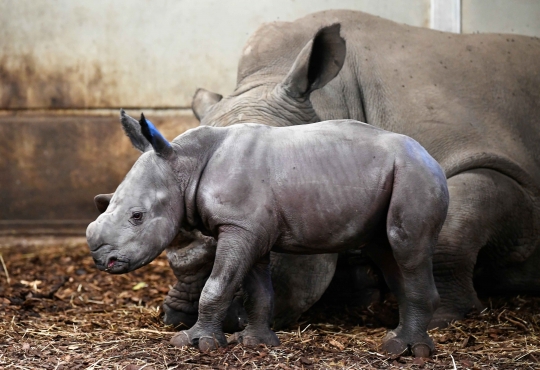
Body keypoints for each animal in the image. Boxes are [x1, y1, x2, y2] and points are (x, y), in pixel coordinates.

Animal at [86, 110, 450, 358]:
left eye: (137, 216)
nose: (104, 260)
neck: (185, 164)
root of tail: (432, 158)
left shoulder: (239, 226)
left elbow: (216, 285)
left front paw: (196, 343)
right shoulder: (248, 228)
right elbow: (257, 289)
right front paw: (254, 342)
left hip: (415, 174)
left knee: (406, 246)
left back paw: (406, 350)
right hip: (399, 175)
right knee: (387, 252)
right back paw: (397, 341)